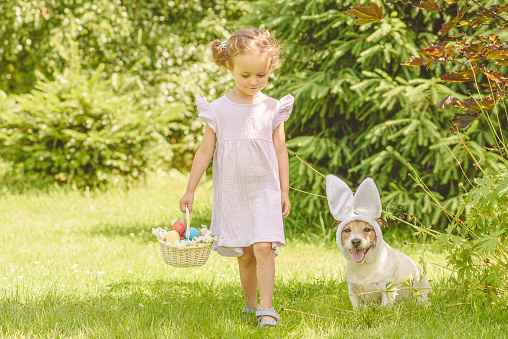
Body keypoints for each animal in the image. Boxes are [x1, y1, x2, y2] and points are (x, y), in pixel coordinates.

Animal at [328, 177, 430, 310]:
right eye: (347, 230)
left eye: (367, 229)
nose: (355, 241)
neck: (364, 266)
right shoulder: (352, 290)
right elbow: (357, 307)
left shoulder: (387, 289)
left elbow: (385, 307)